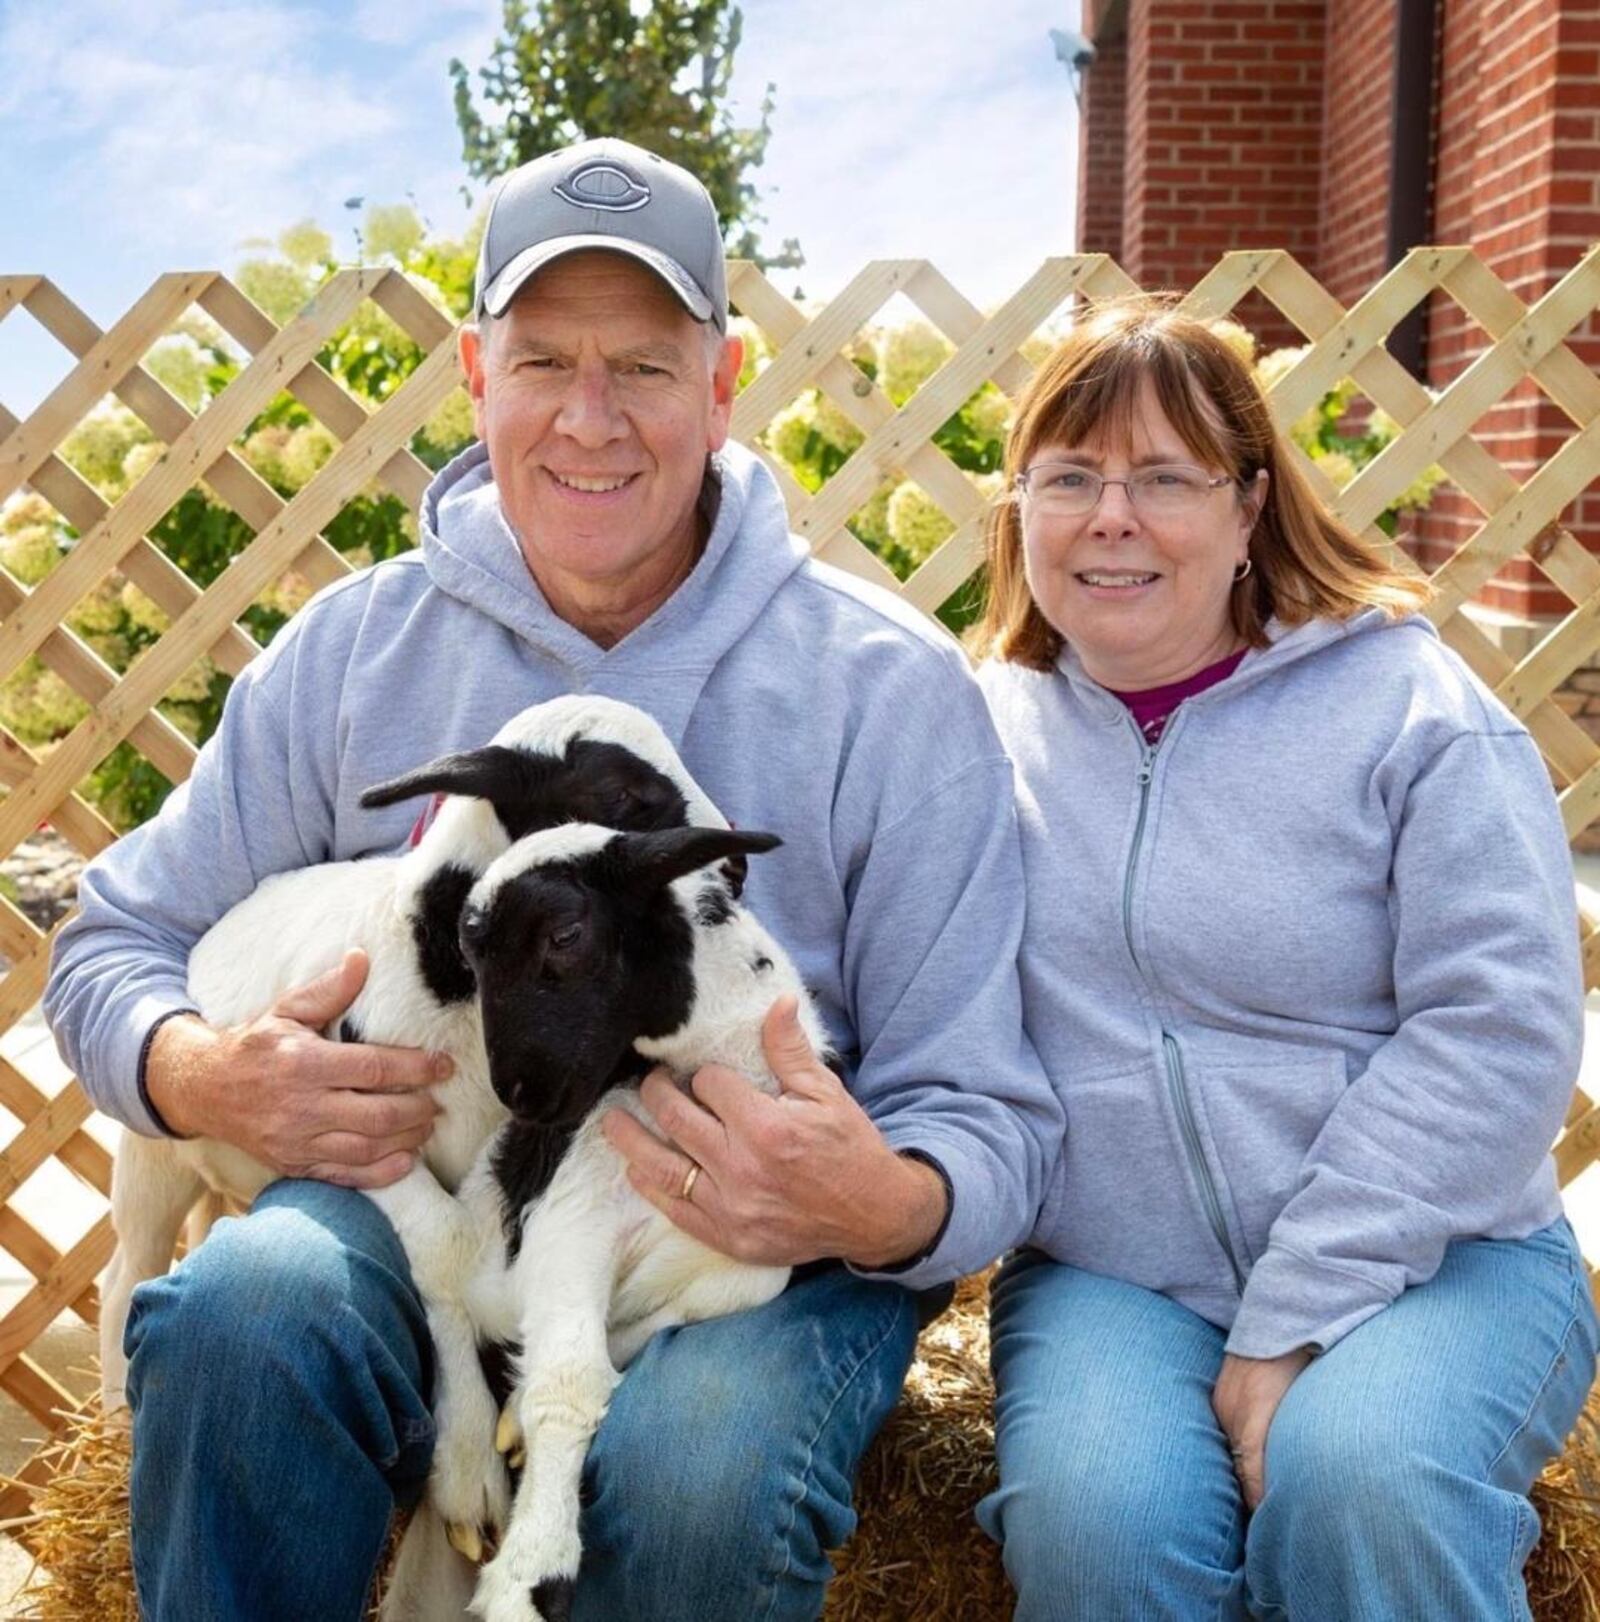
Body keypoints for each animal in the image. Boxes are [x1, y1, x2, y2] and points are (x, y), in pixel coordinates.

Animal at [99, 690, 723, 1550]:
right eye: (620, 794)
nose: (733, 864)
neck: (445, 980)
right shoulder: (360, 1124)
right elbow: (443, 1253)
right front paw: (466, 1465)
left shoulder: (509, 1146)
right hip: (152, 1153)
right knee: (125, 1269)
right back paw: (109, 1422)